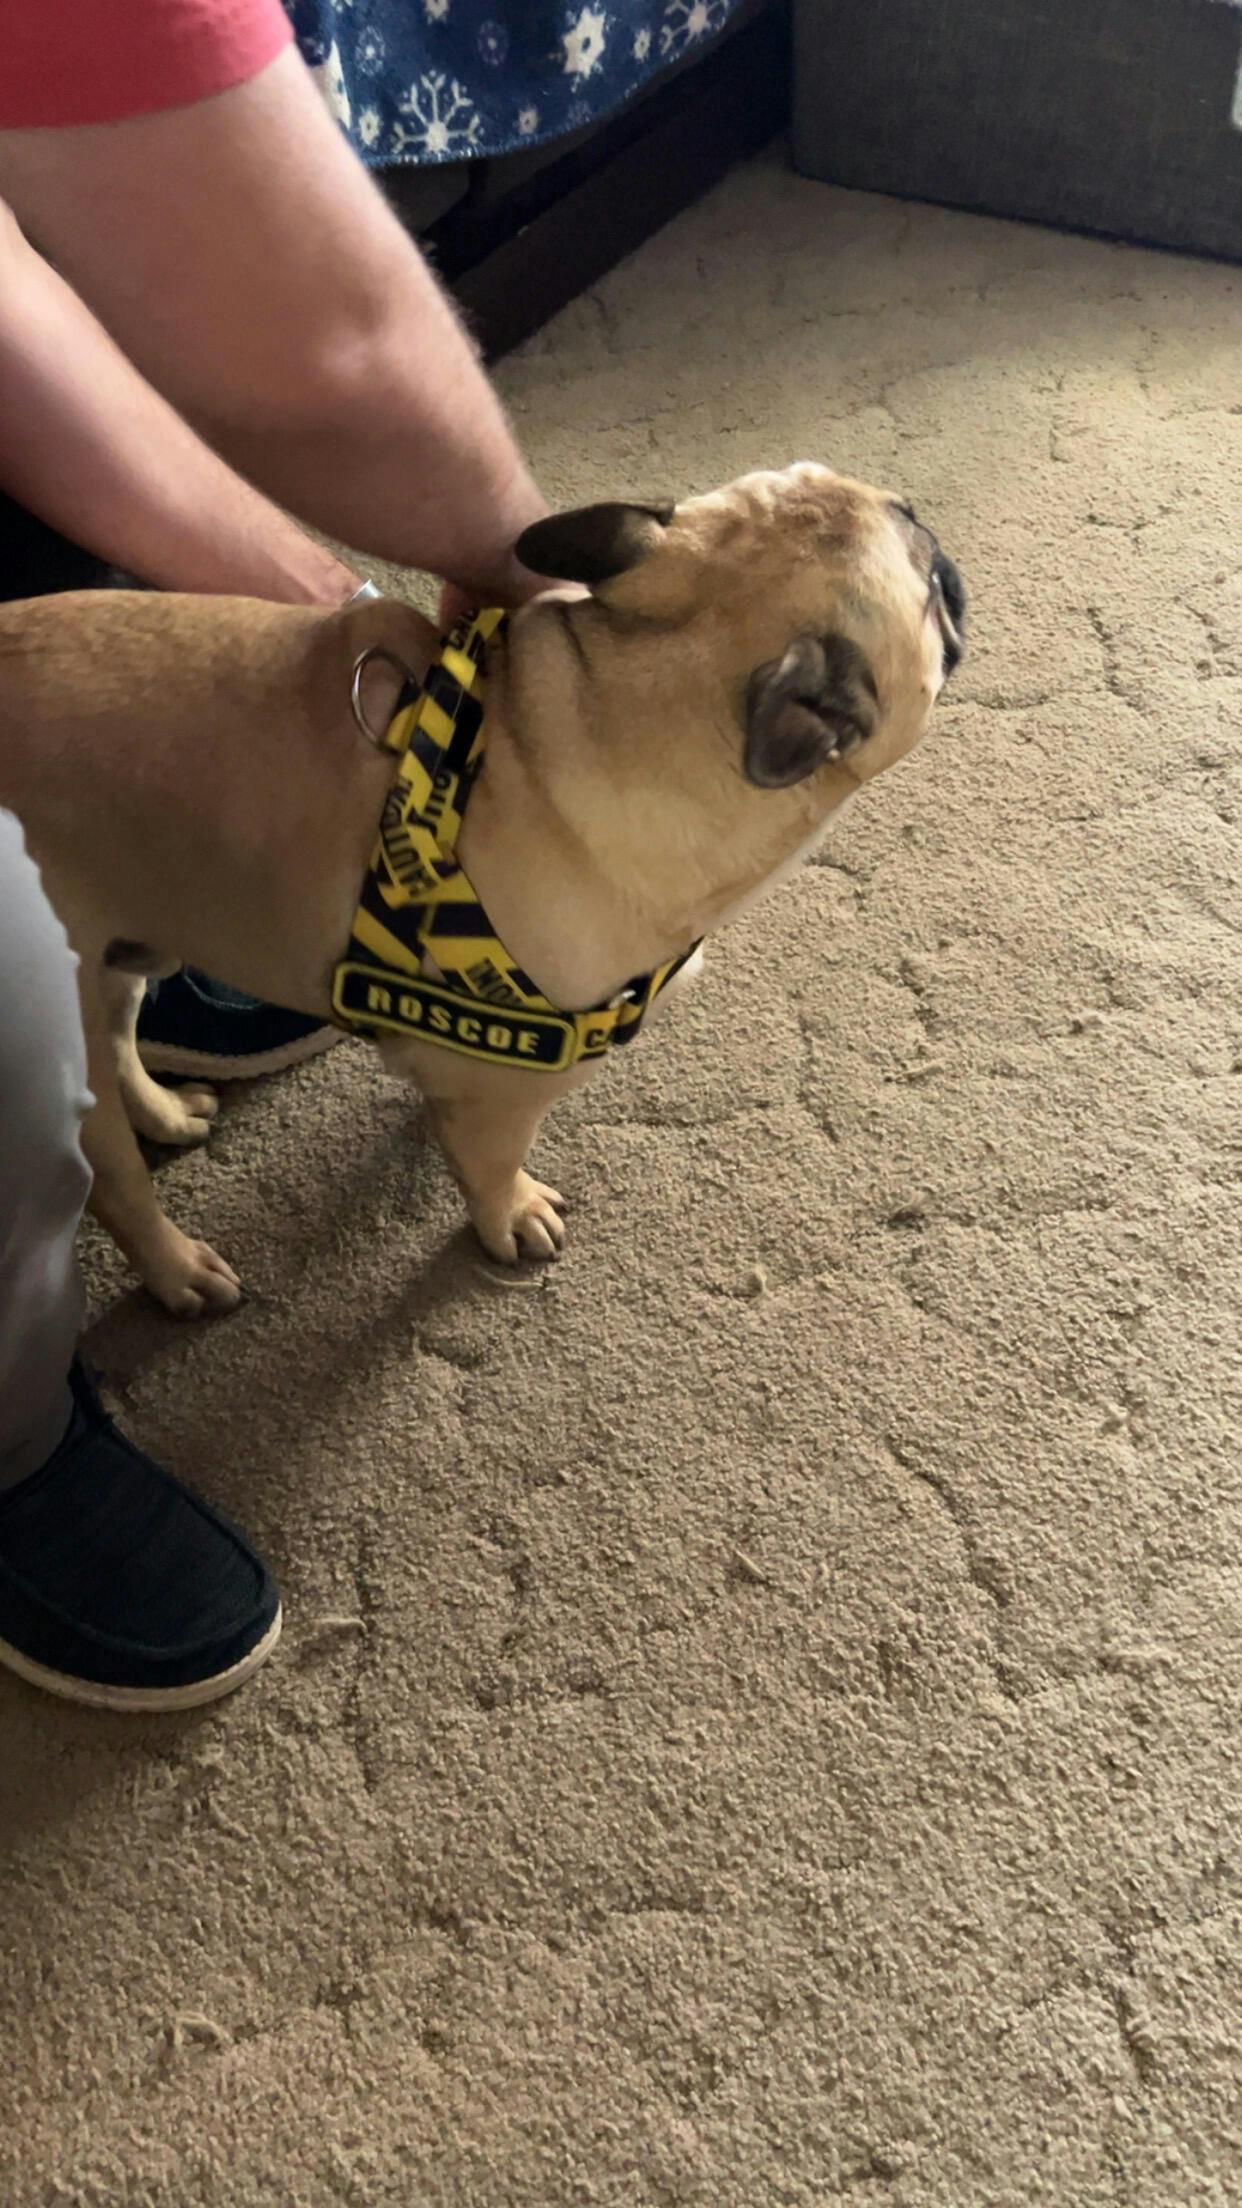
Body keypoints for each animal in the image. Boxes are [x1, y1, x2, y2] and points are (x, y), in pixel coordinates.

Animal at [0, 464, 964, 1316]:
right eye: (925, 582)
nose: (931, 523)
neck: (593, 716)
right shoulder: (501, 1090)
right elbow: (492, 1166)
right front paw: (511, 1216)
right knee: (113, 1180)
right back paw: (177, 1270)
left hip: (130, 947)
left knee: (122, 1035)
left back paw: (168, 1113)